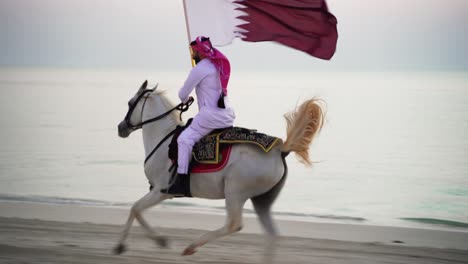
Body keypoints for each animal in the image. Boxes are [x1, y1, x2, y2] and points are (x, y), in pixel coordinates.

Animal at [115, 80, 324, 260]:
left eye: (130, 102)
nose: (121, 128)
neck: (164, 138)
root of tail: (280, 150)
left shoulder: (161, 191)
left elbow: (135, 209)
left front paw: (126, 245)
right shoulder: (159, 192)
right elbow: (137, 210)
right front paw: (158, 241)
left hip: (235, 192)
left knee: (234, 225)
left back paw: (192, 246)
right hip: (261, 201)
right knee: (272, 235)